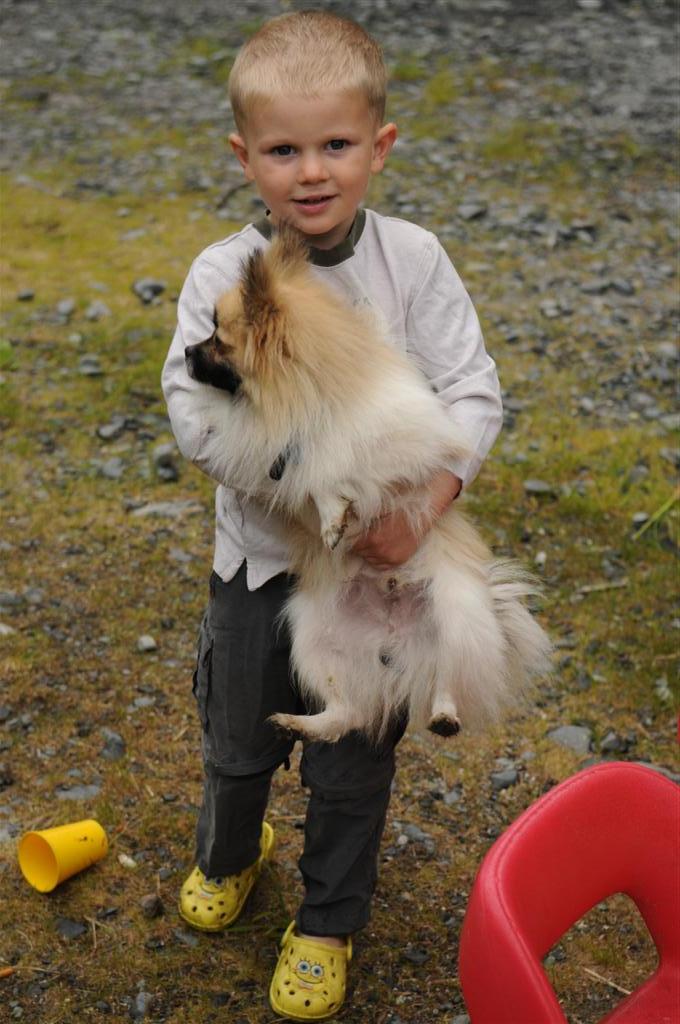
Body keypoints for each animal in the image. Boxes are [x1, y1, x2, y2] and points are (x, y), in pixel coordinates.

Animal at [186, 226, 553, 745]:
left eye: (217, 337)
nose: (185, 352)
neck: (307, 397)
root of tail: (394, 641)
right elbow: (314, 476)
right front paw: (332, 519)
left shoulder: (396, 451)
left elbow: (339, 468)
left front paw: (338, 516)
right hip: (311, 637)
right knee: (348, 712)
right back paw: (298, 722)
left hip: (456, 613)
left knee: (448, 677)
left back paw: (444, 715)